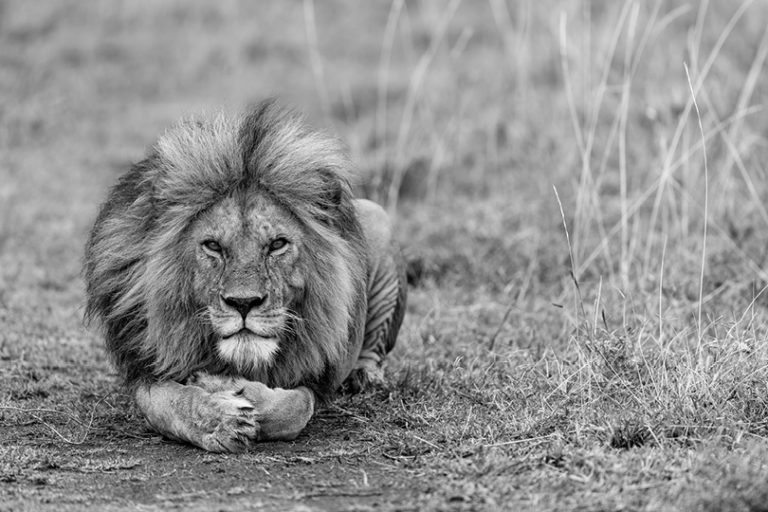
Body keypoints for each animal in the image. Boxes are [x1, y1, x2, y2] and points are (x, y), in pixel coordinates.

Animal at [83, 101, 408, 452]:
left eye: (277, 245)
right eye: (213, 246)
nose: (243, 303)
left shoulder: (316, 377)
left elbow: (295, 407)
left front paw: (227, 386)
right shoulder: (145, 366)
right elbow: (172, 405)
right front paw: (221, 420)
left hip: (379, 218)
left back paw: (364, 377)